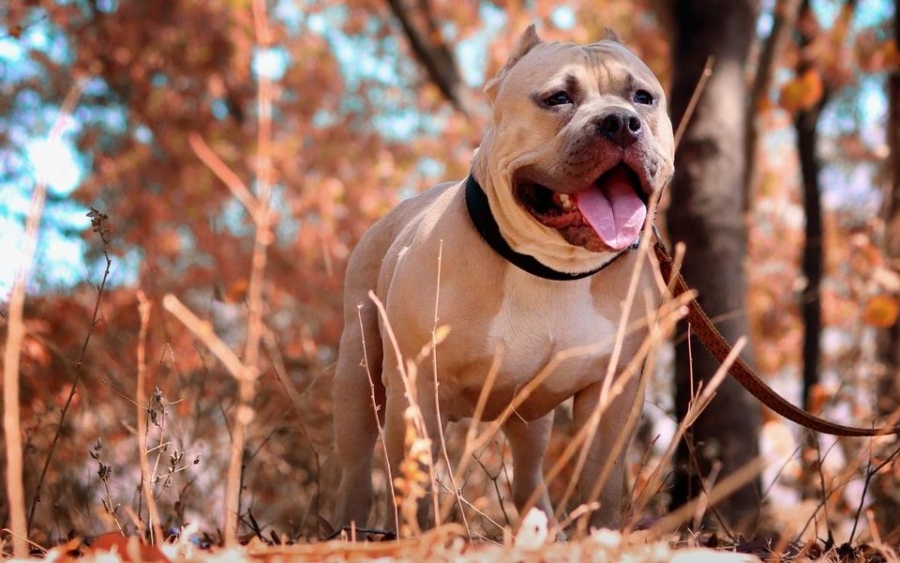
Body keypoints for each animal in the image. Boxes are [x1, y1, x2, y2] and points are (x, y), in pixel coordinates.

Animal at [334, 26, 672, 536]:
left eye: (643, 98)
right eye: (557, 98)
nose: (620, 122)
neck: (550, 268)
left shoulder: (613, 396)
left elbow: (602, 482)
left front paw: (599, 536)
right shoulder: (418, 386)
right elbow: (416, 484)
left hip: (532, 423)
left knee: (528, 476)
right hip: (360, 383)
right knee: (354, 469)